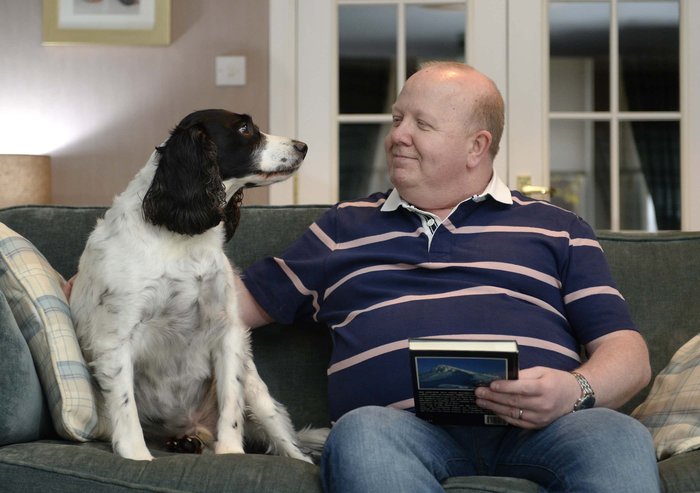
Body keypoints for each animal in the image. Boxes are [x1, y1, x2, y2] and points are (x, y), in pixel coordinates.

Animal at [69, 108, 326, 462]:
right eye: (244, 129)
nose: (303, 146)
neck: (180, 239)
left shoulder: (228, 332)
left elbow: (230, 406)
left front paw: (231, 453)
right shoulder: (115, 338)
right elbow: (125, 408)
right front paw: (137, 456)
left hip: (259, 396)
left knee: (288, 445)